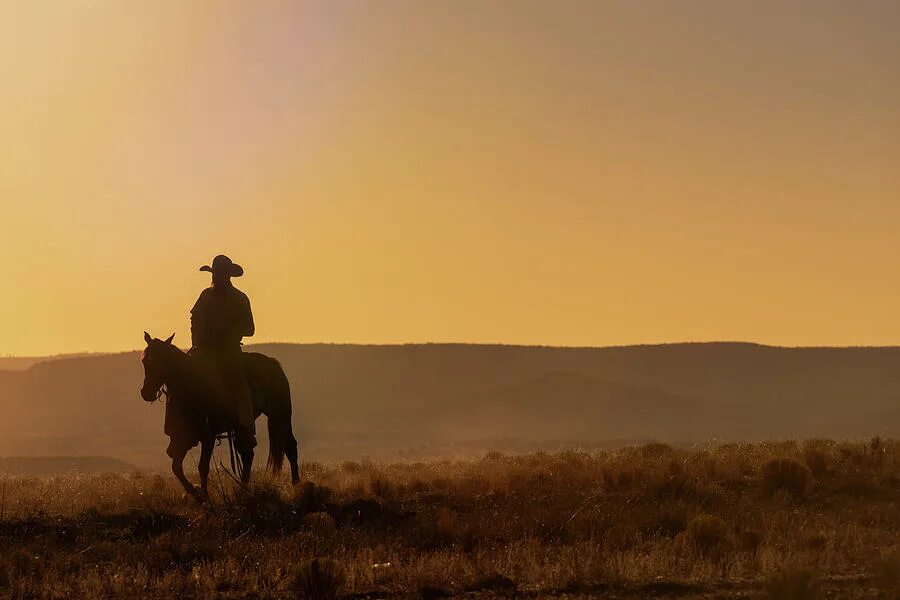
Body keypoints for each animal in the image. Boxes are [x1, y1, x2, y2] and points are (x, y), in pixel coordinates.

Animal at [137, 330, 298, 500]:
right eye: (145, 361)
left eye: (161, 362)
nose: (146, 393)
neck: (189, 386)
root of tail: (273, 363)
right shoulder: (181, 437)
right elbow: (176, 466)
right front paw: (195, 492)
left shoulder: (209, 435)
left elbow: (203, 466)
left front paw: (204, 495)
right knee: (249, 452)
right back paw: (243, 489)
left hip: (280, 415)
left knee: (288, 447)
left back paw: (296, 486)